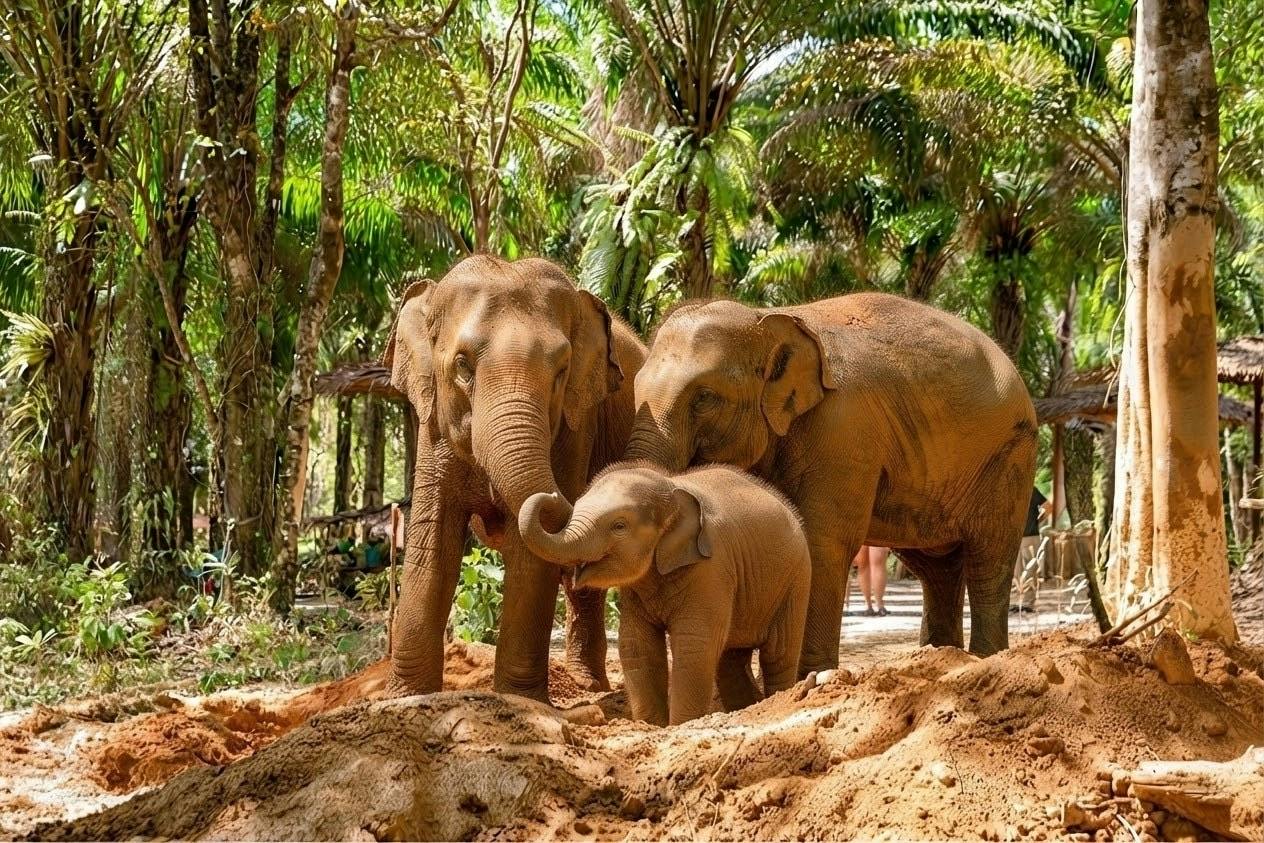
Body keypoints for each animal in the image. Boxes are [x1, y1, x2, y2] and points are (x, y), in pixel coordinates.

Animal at [383, 255, 646, 701]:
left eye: (562, 370)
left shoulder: (577, 424)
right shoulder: (432, 424)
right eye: (462, 365)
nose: (563, 497)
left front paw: (519, 700)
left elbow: (532, 557)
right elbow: (431, 545)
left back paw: (588, 685)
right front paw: (407, 697)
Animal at [518, 463, 811, 726]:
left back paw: (777, 702)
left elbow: (695, 645)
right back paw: (749, 709)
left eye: (619, 526)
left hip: (796, 580)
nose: (552, 496)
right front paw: (652, 726)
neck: (670, 486)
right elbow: (636, 644)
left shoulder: (711, 570)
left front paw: (681, 725)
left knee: (778, 653)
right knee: (731, 660)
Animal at [623, 293, 1037, 669]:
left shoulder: (845, 431)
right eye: (635, 386)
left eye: (705, 397)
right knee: (936, 568)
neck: (766, 316)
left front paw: (812, 676)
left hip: (1009, 456)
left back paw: (985, 659)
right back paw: (942, 659)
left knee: (989, 556)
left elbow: (822, 543)